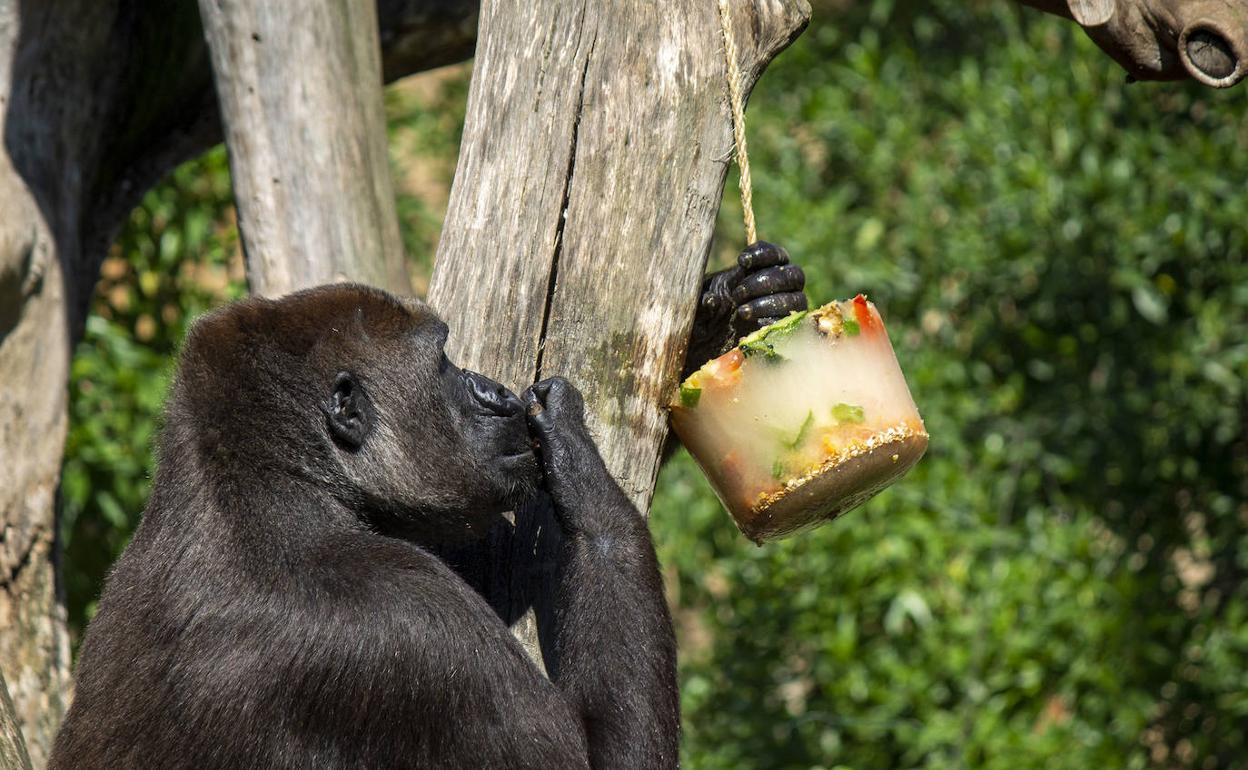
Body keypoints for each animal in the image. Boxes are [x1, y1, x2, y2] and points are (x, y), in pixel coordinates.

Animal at [48, 243, 803, 763]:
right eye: (442, 365)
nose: (495, 393)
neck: (264, 483)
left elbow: (507, 555)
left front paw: (729, 312)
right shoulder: (409, 622)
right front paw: (577, 461)